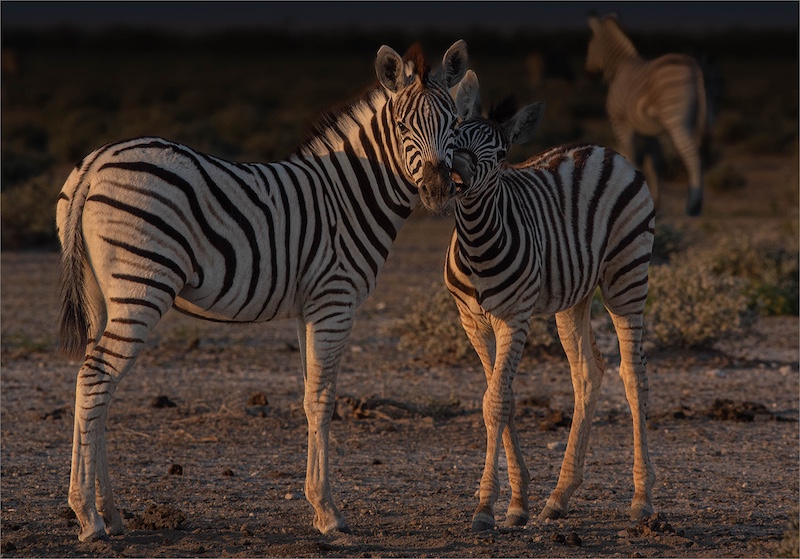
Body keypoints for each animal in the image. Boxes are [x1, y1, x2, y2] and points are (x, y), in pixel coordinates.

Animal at [56, 40, 470, 542]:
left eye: (454, 124)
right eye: (403, 127)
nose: (438, 190)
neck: (351, 195)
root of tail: (96, 161)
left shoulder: (307, 308)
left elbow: (309, 397)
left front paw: (317, 504)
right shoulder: (335, 301)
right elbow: (324, 399)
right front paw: (329, 512)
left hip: (100, 295)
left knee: (95, 386)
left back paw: (111, 512)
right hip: (142, 285)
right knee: (96, 377)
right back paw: (89, 517)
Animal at [446, 70, 656, 531]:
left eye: (501, 154)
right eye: (456, 135)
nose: (458, 176)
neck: (476, 241)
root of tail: (603, 150)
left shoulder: (515, 317)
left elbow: (496, 402)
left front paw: (486, 506)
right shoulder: (472, 321)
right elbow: (499, 397)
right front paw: (518, 502)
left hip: (627, 277)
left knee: (634, 378)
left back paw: (642, 499)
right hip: (573, 296)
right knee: (588, 373)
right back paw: (559, 497)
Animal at [586, 13, 708, 216]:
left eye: (590, 44)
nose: (590, 74)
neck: (620, 66)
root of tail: (694, 66)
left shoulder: (620, 123)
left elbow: (630, 155)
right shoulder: (649, 131)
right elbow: (655, 165)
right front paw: (655, 201)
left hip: (677, 120)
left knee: (692, 155)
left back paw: (693, 205)